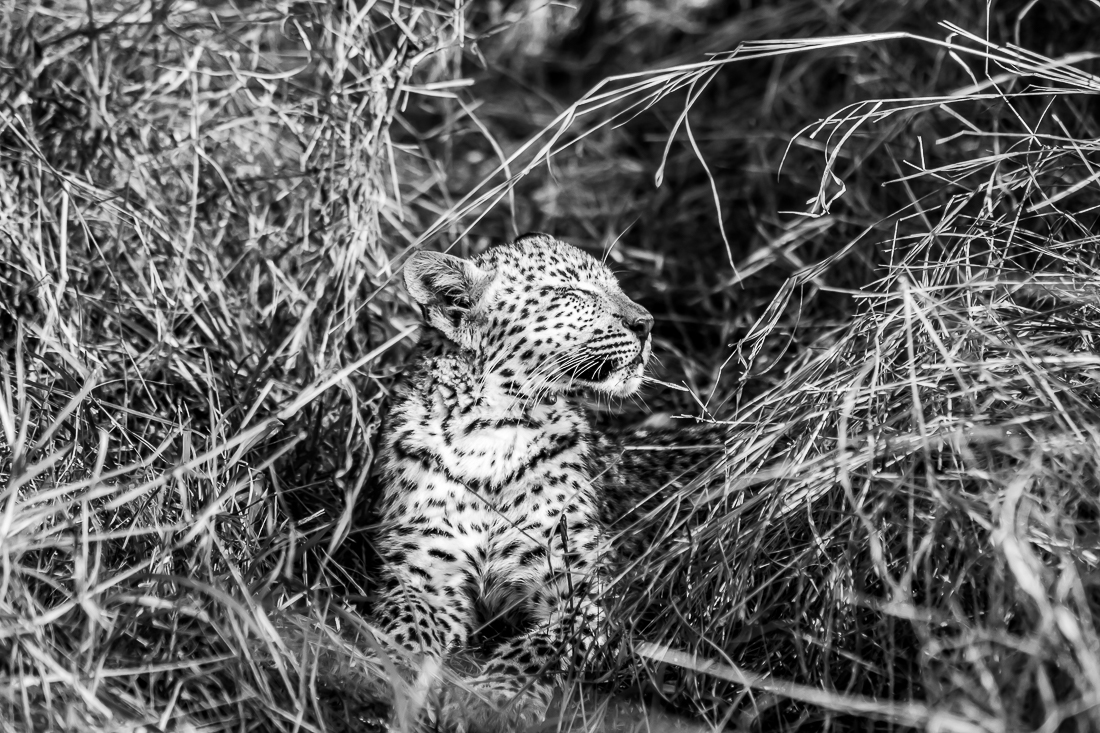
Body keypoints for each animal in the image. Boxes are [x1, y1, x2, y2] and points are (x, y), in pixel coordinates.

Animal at [368, 232, 726, 733]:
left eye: (616, 287)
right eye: (571, 292)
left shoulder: (584, 592)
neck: (491, 435)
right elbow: (404, 626)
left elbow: (539, 649)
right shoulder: (421, 572)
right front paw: (393, 675)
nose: (647, 323)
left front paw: (494, 699)